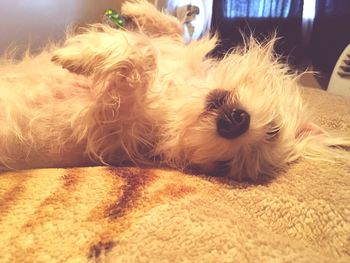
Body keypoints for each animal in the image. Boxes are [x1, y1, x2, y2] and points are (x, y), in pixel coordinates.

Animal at [0, 0, 348, 180]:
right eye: (274, 130)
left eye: (227, 166)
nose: (234, 123)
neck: (183, 95)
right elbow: (173, 31)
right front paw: (137, 10)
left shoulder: (107, 120)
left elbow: (142, 56)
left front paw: (79, 55)